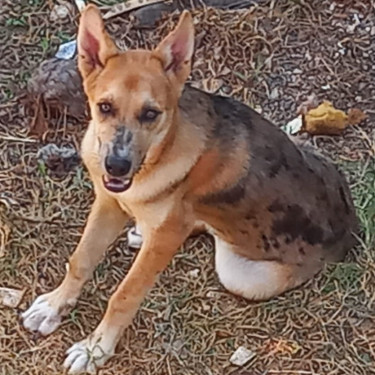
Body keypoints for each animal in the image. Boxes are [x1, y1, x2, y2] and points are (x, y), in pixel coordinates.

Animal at [21, 5, 358, 374]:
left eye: (150, 114)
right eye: (104, 107)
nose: (117, 166)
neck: (159, 156)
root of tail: (351, 229)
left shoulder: (162, 236)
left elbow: (124, 295)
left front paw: (96, 349)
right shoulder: (109, 200)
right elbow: (80, 259)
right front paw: (54, 306)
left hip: (241, 276)